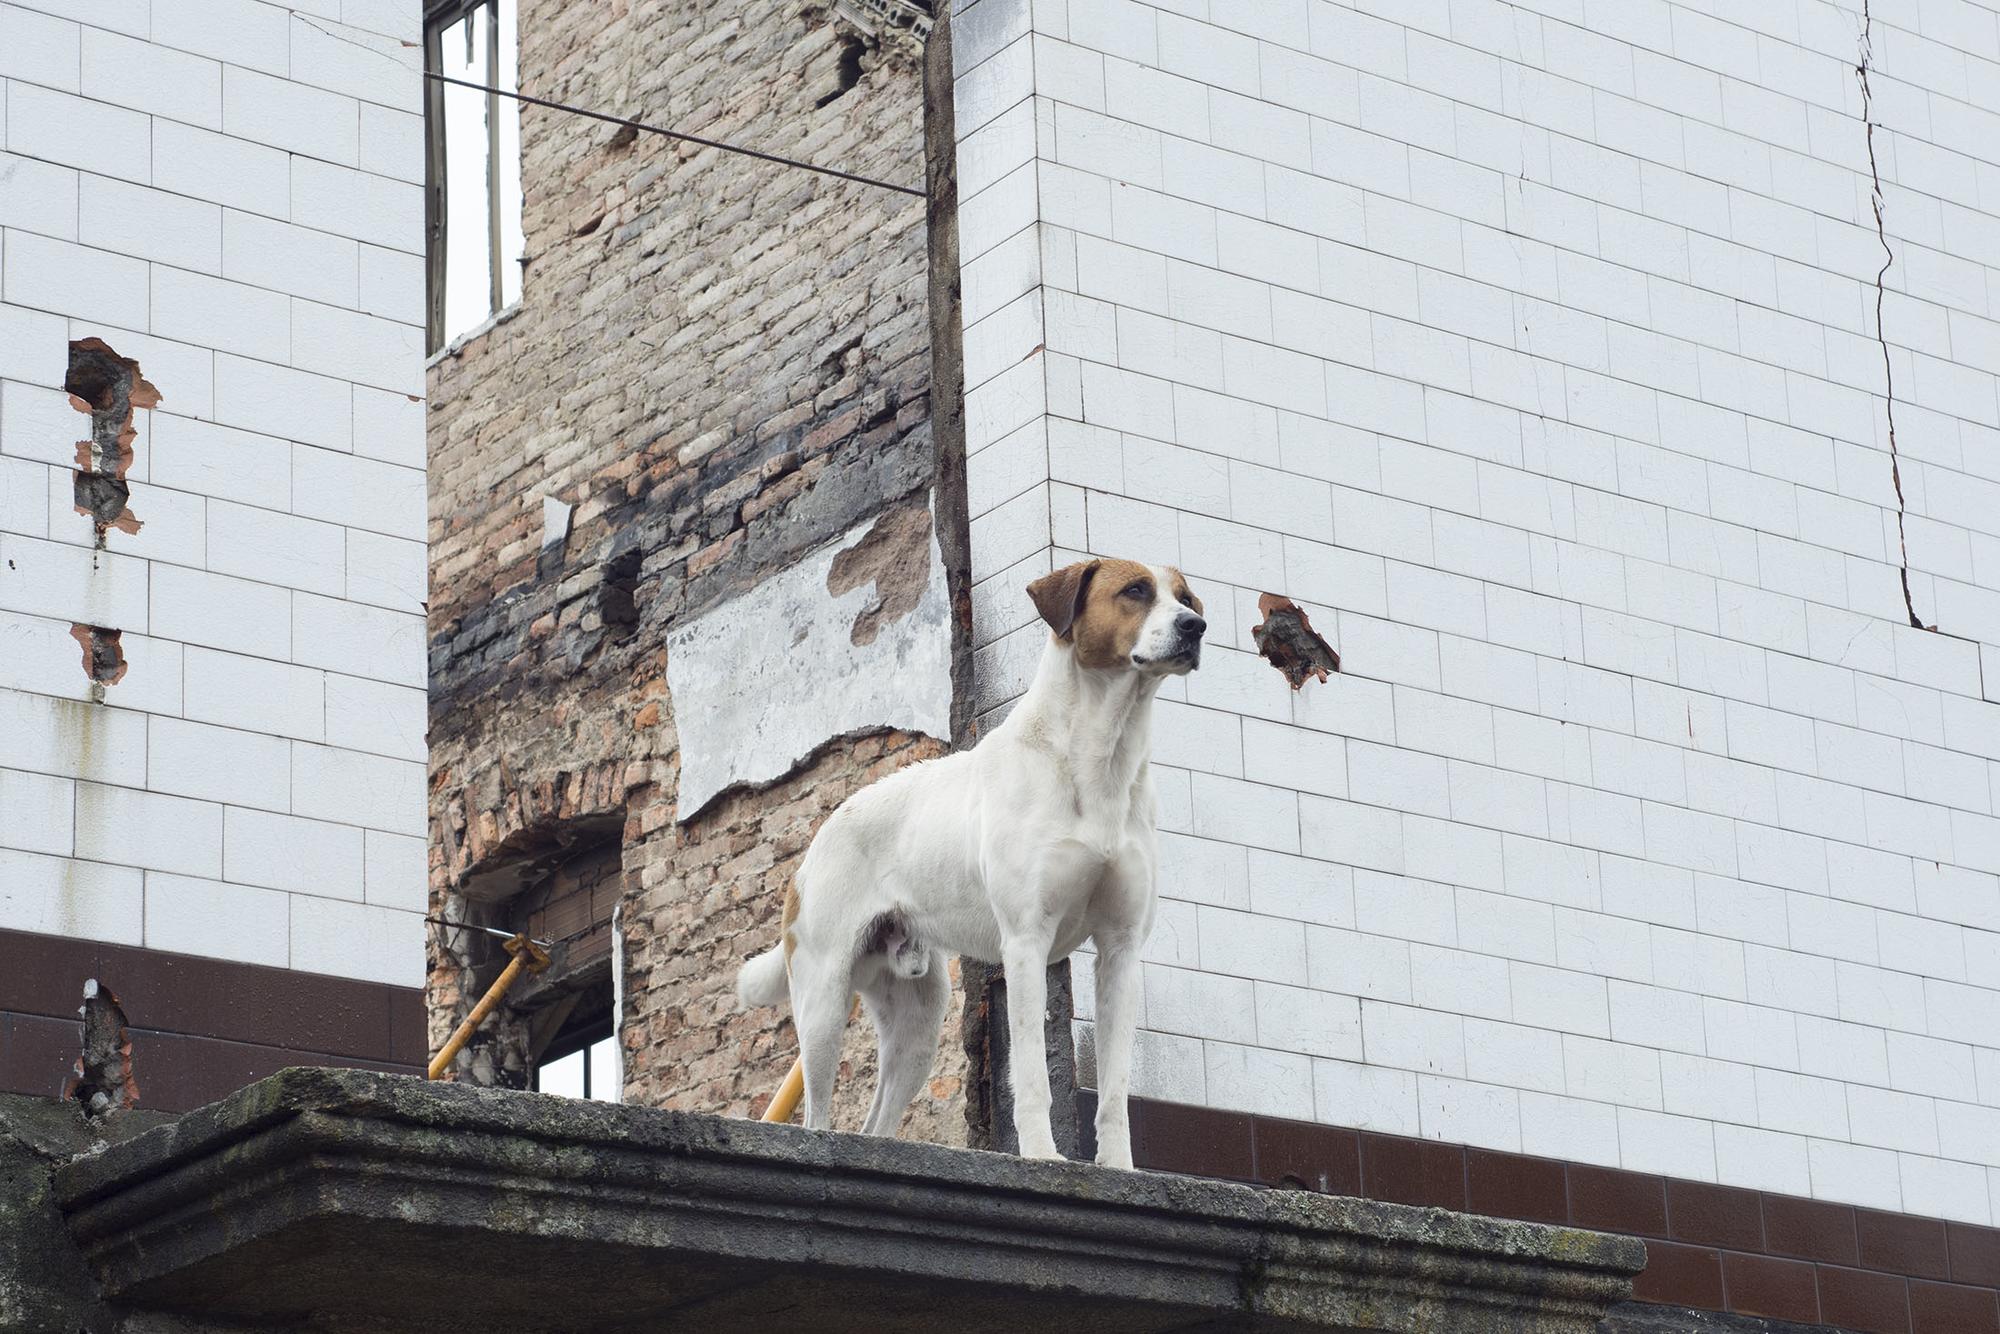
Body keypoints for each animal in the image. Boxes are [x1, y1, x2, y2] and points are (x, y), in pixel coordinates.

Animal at [740, 560, 1192, 1160]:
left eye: (1186, 597)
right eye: (1135, 590)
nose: (1196, 626)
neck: (1099, 757)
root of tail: (814, 847)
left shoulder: (1120, 949)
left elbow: (1115, 1090)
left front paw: (1117, 1167)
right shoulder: (1025, 944)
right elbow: (1031, 1073)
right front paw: (1042, 1155)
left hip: (919, 1022)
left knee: (877, 1122)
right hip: (822, 1003)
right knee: (817, 1113)